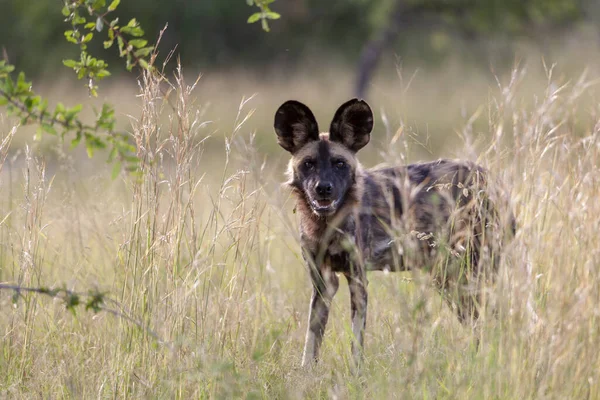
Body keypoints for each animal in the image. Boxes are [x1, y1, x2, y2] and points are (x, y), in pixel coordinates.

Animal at [276, 97, 516, 366]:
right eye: (308, 164)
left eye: (339, 164)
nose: (323, 188)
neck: (326, 225)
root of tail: (493, 182)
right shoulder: (323, 283)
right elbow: (311, 343)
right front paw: (307, 373)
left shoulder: (358, 279)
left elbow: (356, 342)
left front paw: (356, 373)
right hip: (449, 277)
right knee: (479, 323)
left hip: (467, 275)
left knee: (491, 321)